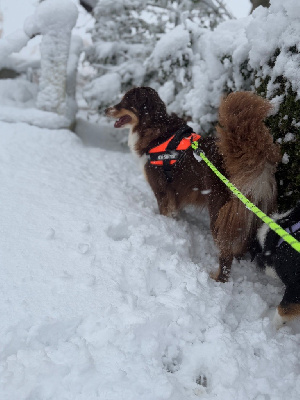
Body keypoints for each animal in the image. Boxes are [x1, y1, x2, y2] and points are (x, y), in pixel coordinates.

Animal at [105, 87, 282, 282]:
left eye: (125, 101)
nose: (105, 110)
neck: (154, 129)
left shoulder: (162, 191)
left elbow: (165, 212)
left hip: (219, 213)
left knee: (226, 254)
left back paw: (218, 279)